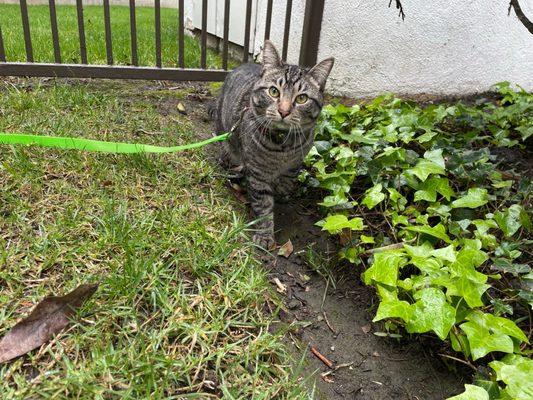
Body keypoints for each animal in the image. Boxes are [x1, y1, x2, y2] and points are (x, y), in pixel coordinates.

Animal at [212, 39, 332, 247]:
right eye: (274, 91)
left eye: (302, 98)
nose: (284, 111)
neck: (282, 146)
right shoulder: (259, 175)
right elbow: (263, 205)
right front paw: (265, 234)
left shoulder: (294, 165)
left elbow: (286, 183)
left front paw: (281, 193)